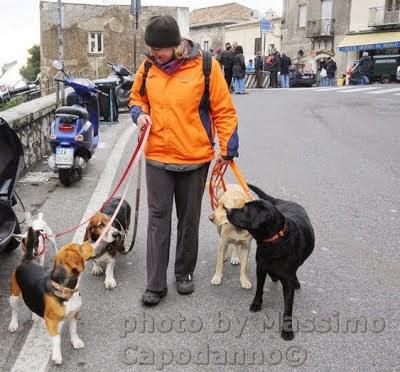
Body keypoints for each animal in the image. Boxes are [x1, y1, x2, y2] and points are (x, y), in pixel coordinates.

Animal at [8, 227, 95, 366]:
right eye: (79, 247)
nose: (92, 239)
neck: (66, 290)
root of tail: (27, 260)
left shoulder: (74, 314)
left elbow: (73, 330)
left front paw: (76, 342)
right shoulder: (51, 321)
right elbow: (57, 338)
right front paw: (57, 355)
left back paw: (35, 315)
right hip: (14, 295)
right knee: (14, 310)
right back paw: (13, 324)